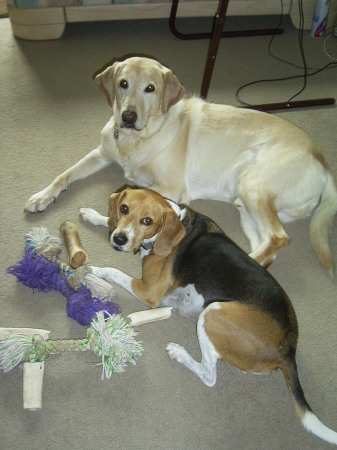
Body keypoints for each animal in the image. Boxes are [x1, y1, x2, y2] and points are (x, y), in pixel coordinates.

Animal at [24, 55, 336, 274]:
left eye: (150, 89)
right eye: (123, 84)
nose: (127, 116)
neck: (137, 138)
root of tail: (320, 157)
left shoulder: (172, 188)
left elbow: (137, 202)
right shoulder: (102, 153)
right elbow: (65, 175)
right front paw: (42, 197)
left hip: (254, 186)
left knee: (279, 238)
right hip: (244, 205)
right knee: (268, 246)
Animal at [80, 188, 336, 444]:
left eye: (147, 221)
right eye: (124, 208)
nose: (119, 240)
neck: (176, 224)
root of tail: (289, 348)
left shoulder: (148, 291)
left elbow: (112, 271)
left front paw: (93, 272)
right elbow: (109, 220)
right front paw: (94, 216)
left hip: (211, 314)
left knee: (208, 375)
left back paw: (179, 353)